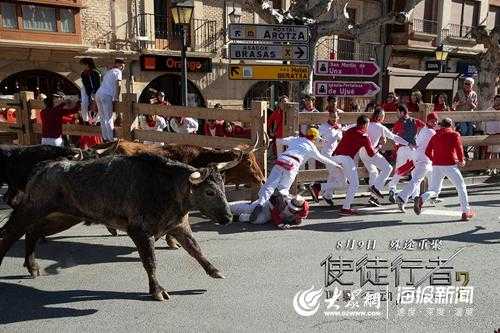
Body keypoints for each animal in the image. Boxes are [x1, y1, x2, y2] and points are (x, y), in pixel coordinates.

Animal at [0, 153, 234, 300]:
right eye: (209, 192)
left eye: (223, 188)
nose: (228, 217)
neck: (167, 189)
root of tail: (43, 167)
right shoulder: (140, 232)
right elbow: (150, 262)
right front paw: (157, 291)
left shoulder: (179, 226)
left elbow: (196, 250)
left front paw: (214, 270)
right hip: (31, 209)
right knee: (11, 233)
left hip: (63, 217)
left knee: (33, 232)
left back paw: (33, 267)